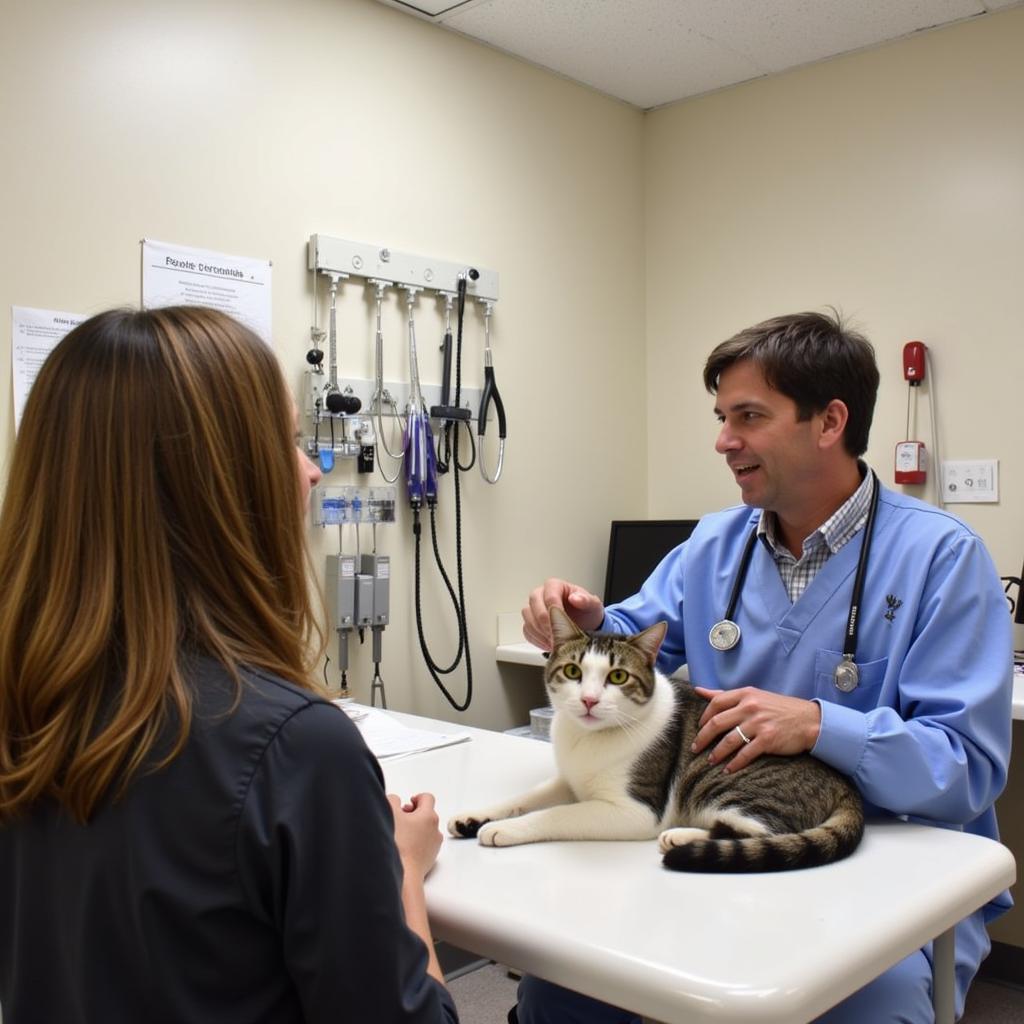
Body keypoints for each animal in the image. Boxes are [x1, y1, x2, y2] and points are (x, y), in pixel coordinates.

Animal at [448, 606, 864, 872]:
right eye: (572, 671)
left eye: (618, 677)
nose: (588, 700)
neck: (587, 739)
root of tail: (841, 781)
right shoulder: (568, 780)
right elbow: (528, 797)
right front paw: (476, 816)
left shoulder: (635, 810)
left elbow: (556, 813)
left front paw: (502, 829)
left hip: (726, 780)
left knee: (762, 831)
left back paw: (681, 838)